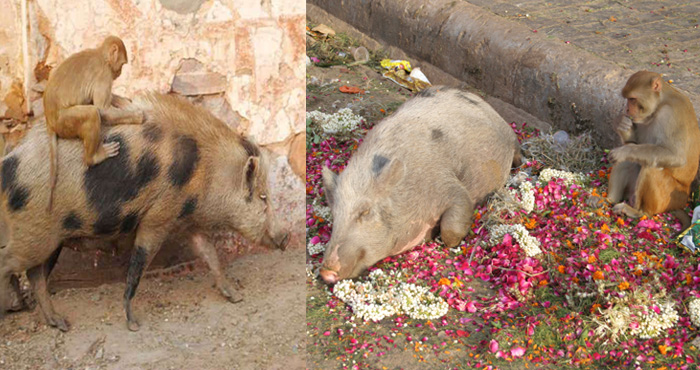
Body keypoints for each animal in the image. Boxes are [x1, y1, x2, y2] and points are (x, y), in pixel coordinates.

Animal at [43, 36, 144, 212]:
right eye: (122, 64)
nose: (119, 72)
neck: (101, 56)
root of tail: (50, 121)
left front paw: (124, 102)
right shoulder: (104, 75)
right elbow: (102, 110)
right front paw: (138, 116)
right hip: (64, 123)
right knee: (91, 113)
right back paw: (93, 158)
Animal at [596, 69, 700, 225]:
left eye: (632, 99)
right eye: (627, 99)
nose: (627, 109)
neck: (659, 105)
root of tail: (685, 199)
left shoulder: (671, 115)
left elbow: (676, 156)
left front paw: (624, 151)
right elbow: (634, 144)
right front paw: (621, 124)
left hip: (670, 199)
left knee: (652, 167)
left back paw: (639, 212)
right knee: (632, 161)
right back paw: (608, 200)